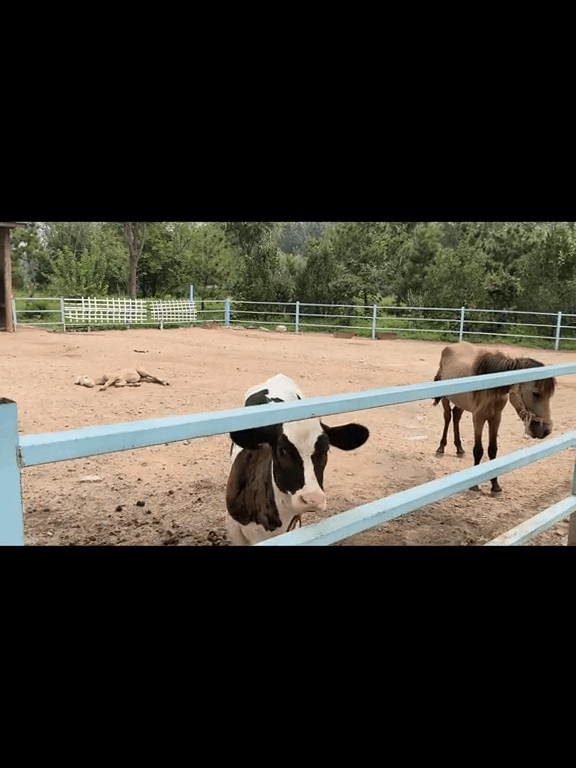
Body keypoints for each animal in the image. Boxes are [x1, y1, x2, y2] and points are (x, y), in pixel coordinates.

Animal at [434, 340, 556, 492]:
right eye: (536, 393)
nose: (545, 430)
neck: (492, 385)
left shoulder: (495, 418)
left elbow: (493, 450)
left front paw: (495, 485)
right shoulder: (478, 418)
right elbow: (478, 450)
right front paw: (474, 485)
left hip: (461, 402)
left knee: (456, 416)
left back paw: (459, 449)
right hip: (446, 398)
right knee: (448, 417)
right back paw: (441, 447)